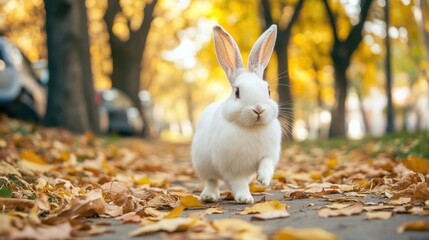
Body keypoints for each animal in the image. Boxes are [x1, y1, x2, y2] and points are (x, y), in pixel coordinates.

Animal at [191, 24, 280, 203]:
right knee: (212, 180)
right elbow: (239, 183)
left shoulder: (269, 154)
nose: (258, 109)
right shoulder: (233, 168)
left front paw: (264, 180)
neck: (253, 128)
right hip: (204, 165)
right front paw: (245, 198)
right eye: (237, 92)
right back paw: (209, 196)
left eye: (268, 90)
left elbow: (266, 164)